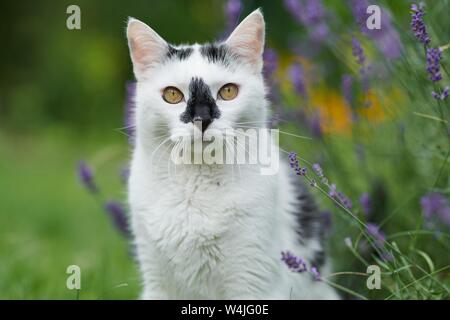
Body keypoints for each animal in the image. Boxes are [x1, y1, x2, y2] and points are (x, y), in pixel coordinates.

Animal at [125, 8, 338, 298]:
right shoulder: (157, 282)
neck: (198, 185)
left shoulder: (252, 282)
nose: (202, 119)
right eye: (172, 94)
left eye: (228, 91)